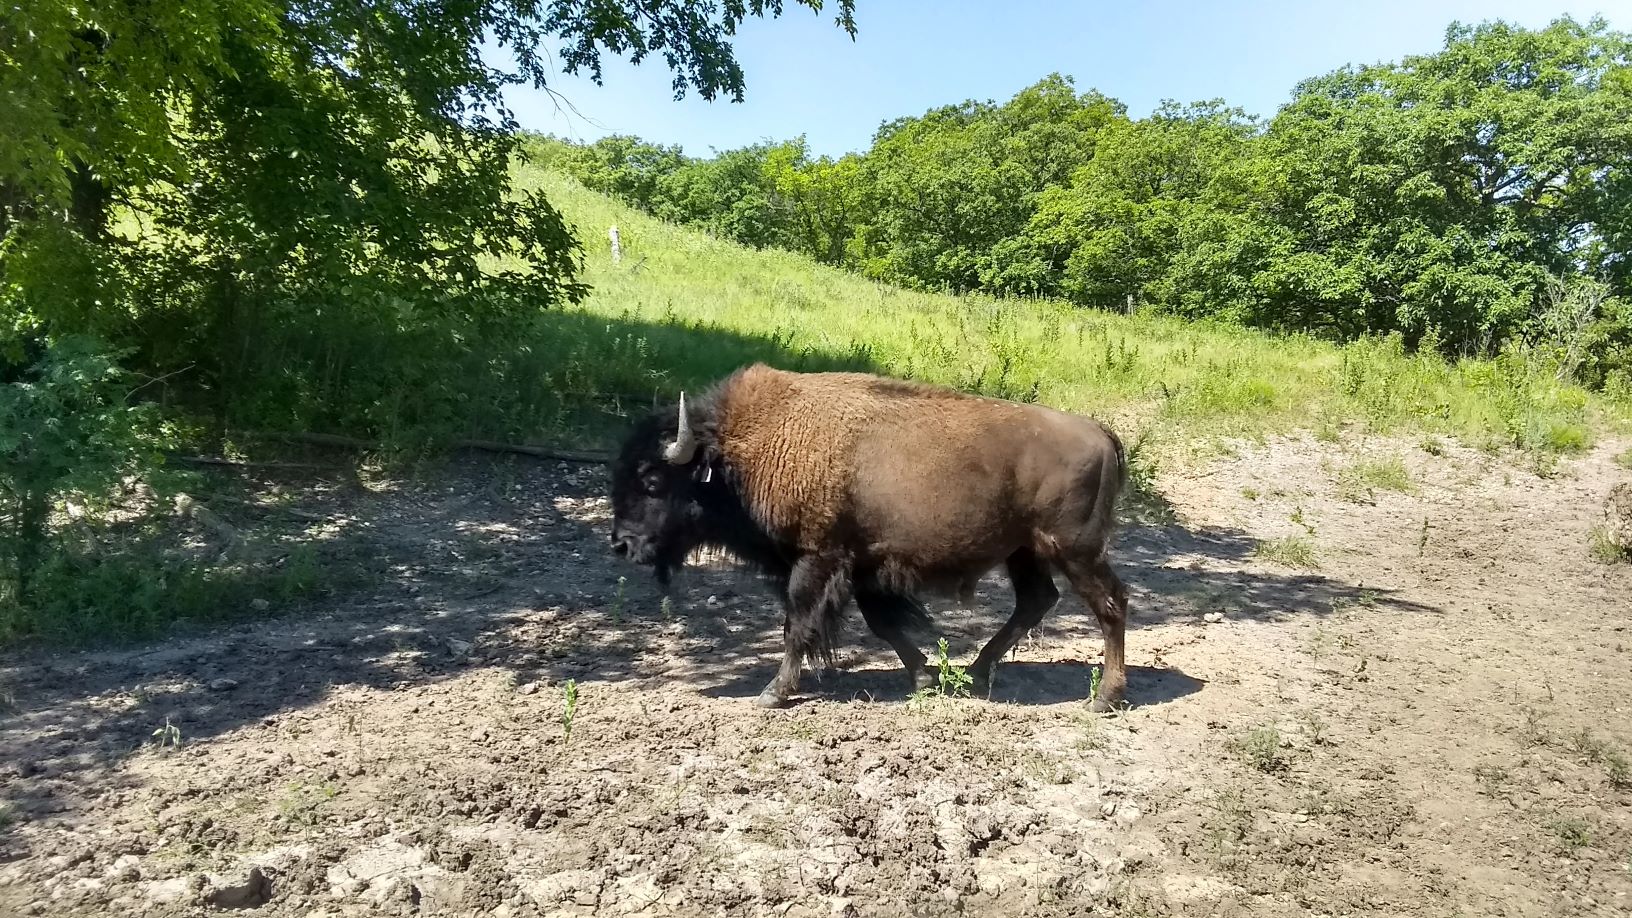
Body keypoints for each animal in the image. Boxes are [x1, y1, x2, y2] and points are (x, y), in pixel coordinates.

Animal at [608, 364, 1131, 711]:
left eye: (652, 480)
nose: (622, 544)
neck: (742, 453)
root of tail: (1100, 433)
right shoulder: (860, 567)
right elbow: (882, 624)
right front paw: (923, 678)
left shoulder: (815, 559)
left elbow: (797, 624)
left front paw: (772, 693)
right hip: (1025, 551)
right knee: (1036, 601)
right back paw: (976, 673)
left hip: (1074, 550)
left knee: (1110, 604)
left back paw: (1103, 698)